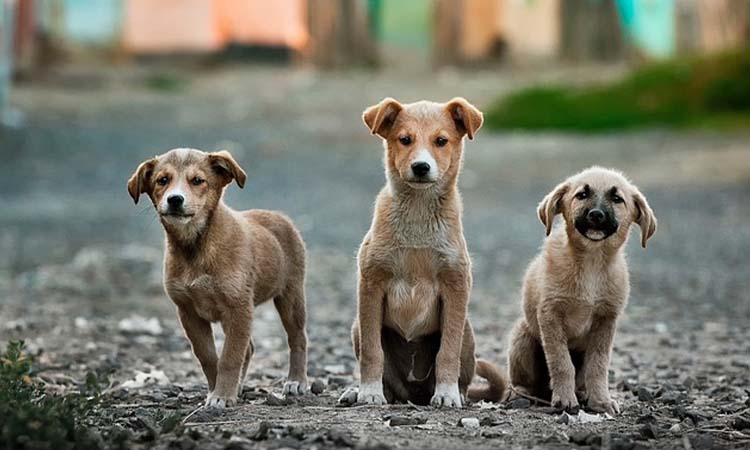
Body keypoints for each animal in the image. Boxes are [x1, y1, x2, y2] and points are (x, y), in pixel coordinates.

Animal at [129, 149, 308, 410]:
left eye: (197, 181)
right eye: (162, 180)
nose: (175, 200)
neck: (195, 247)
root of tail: (279, 216)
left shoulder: (238, 308)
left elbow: (230, 357)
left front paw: (222, 395)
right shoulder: (188, 312)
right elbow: (209, 357)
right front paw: (218, 390)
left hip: (291, 296)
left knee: (297, 338)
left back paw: (296, 381)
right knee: (249, 348)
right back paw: (240, 386)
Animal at [342, 97, 508, 408]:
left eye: (441, 141)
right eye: (404, 139)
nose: (421, 167)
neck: (418, 214)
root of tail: (414, 393)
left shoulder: (456, 286)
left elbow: (447, 352)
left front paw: (447, 393)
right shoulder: (371, 284)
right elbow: (372, 352)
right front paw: (369, 392)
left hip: (468, 332)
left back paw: (456, 393)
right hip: (357, 326)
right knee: (389, 380)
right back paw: (362, 392)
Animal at [512, 166, 656, 414]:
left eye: (617, 199)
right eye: (582, 195)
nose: (596, 215)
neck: (591, 263)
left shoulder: (606, 320)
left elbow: (598, 366)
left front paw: (601, 400)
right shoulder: (550, 315)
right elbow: (561, 363)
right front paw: (564, 399)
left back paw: (582, 393)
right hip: (522, 336)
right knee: (522, 381)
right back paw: (522, 393)